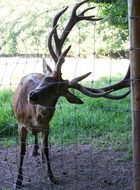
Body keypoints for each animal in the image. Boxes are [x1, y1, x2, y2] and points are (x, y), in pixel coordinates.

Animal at [12, 0, 130, 189]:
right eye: (45, 79)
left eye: (56, 90)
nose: (32, 95)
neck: (35, 117)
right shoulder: (20, 124)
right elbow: (21, 152)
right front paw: (18, 180)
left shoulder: (47, 126)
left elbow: (47, 149)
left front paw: (51, 176)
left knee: (39, 141)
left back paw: (40, 154)